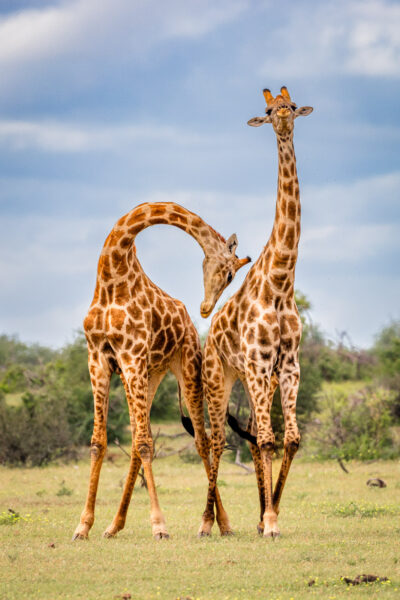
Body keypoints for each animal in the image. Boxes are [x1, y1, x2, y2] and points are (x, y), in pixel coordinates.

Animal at [71, 200, 250, 540]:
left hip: (186, 369)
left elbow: (145, 443)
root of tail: (190, 326)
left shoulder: (130, 355)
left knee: (201, 440)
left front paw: (159, 526)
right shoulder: (98, 358)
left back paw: (222, 523)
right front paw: (83, 526)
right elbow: (99, 442)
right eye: (231, 274)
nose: (206, 308)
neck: (112, 274)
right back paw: (114, 525)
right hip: (148, 374)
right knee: (139, 437)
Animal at [198, 88, 314, 540]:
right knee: (217, 439)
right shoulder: (260, 363)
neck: (280, 283)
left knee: (246, 436)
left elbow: (289, 438)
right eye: (267, 109)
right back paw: (208, 523)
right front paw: (270, 523)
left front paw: (272, 515)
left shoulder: (288, 365)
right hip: (220, 377)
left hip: (249, 378)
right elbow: (267, 438)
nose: (281, 116)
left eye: (293, 105)